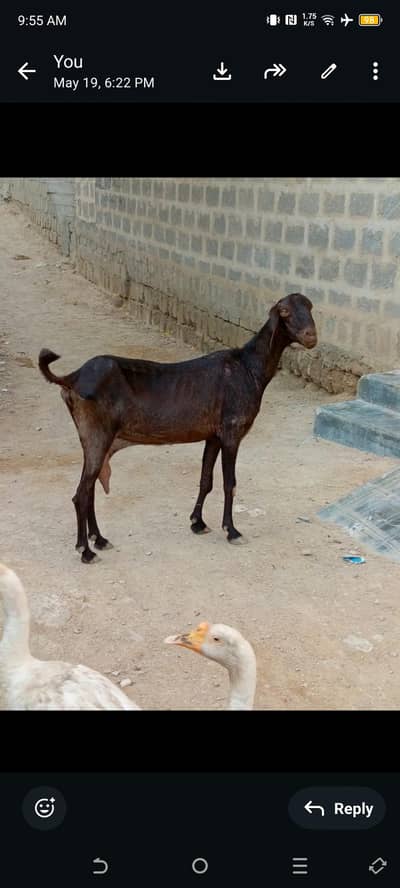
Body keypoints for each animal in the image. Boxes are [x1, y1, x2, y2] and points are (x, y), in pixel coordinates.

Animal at [39, 292, 317, 563]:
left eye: (310, 307)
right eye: (284, 311)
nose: (311, 336)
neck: (248, 367)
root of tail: (72, 378)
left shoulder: (213, 435)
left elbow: (206, 480)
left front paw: (198, 522)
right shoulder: (231, 432)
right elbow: (230, 483)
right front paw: (232, 531)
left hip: (93, 440)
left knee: (90, 488)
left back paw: (100, 539)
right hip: (97, 435)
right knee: (81, 494)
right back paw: (85, 550)